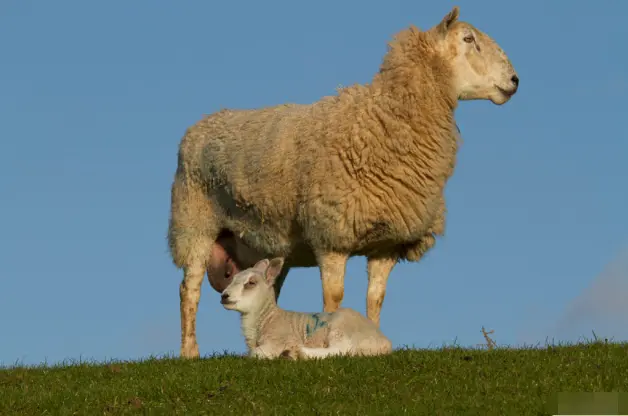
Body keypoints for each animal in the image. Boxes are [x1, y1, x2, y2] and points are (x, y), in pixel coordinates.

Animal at [218, 258, 390, 360]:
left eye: (251, 283)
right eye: (232, 279)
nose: (224, 296)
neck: (267, 318)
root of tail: (384, 342)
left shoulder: (280, 339)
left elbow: (254, 354)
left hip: (341, 327)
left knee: (341, 350)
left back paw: (298, 353)